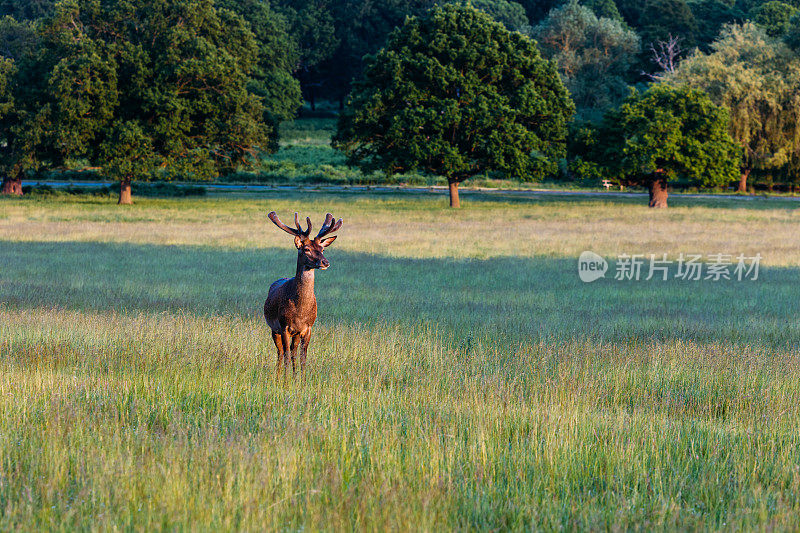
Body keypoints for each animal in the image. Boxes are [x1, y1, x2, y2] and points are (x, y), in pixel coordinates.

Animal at [260, 211, 340, 378]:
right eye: (307, 249)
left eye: (322, 249)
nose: (325, 262)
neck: (300, 312)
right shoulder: (284, 326)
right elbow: (286, 355)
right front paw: (285, 380)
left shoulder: (308, 328)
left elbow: (303, 357)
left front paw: (302, 379)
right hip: (274, 329)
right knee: (281, 352)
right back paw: (278, 376)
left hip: (295, 334)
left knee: (293, 351)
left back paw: (294, 375)